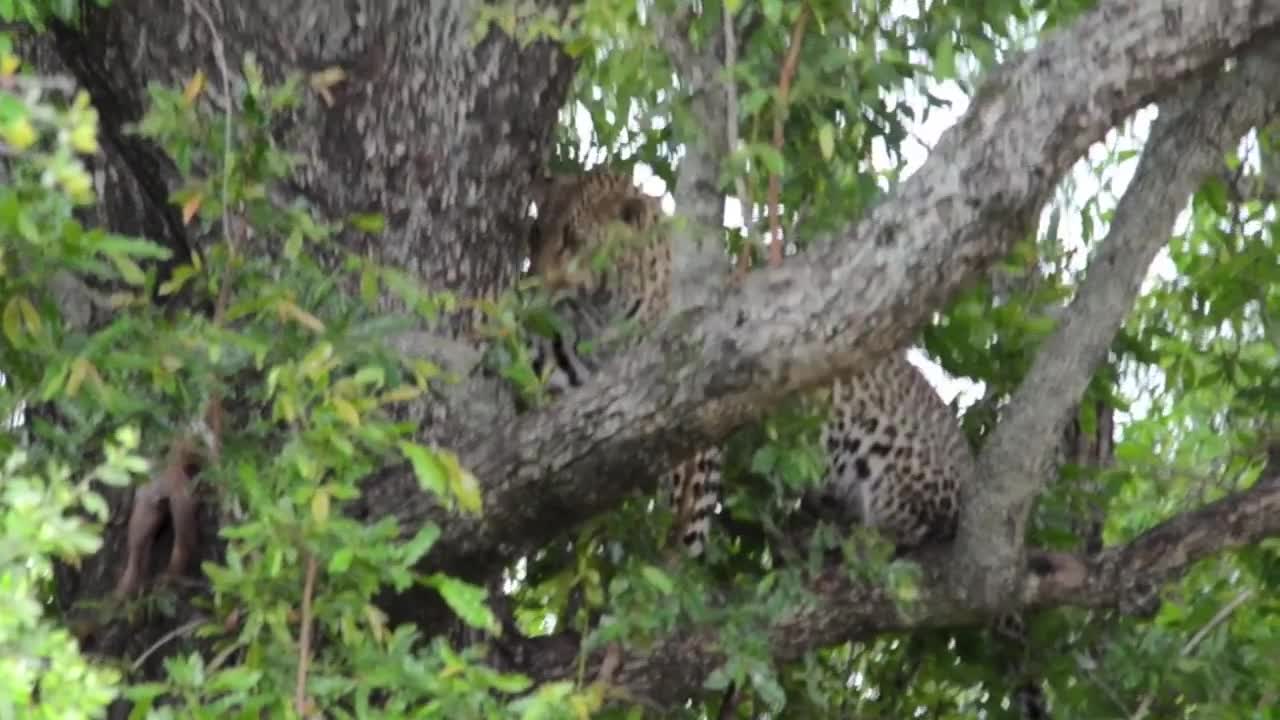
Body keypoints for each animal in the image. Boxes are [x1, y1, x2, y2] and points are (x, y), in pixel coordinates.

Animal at [519, 167, 1049, 712]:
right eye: (535, 236)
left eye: (572, 241)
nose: (532, 280)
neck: (603, 305)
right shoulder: (591, 379)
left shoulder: (684, 410)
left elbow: (686, 518)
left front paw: (666, 584)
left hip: (887, 457)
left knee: (922, 527)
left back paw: (863, 537)